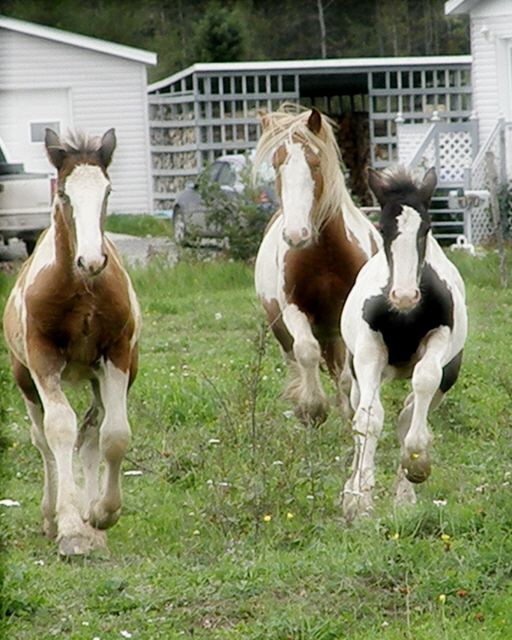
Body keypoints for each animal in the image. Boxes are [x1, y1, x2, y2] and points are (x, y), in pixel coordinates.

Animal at [3, 126, 142, 556]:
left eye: (108, 190)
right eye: (64, 193)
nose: (92, 260)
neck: (81, 289)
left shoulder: (117, 355)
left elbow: (114, 435)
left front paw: (100, 515)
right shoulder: (43, 358)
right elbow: (59, 428)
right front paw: (69, 527)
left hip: (97, 374)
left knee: (92, 434)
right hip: (24, 378)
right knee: (43, 439)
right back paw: (51, 517)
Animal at [254, 105, 382, 424]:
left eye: (314, 165)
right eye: (277, 165)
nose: (295, 234)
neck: (325, 252)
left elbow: (347, 375)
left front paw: (348, 412)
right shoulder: (294, 307)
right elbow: (306, 351)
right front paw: (312, 408)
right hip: (281, 324)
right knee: (294, 359)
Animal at [340, 165, 468, 520]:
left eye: (426, 228)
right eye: (382, 228)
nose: (405, 295)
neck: (404, 316)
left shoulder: (439, 343)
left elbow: (421, 388)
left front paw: (417, 465)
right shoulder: (369, 351)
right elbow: (367, 418)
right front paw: (358, 498)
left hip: (448, 374)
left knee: (411, 410)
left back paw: (404, 494)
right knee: (360, 410)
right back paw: (351, 487)